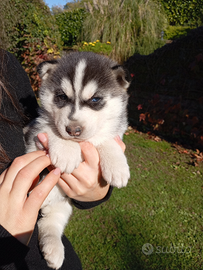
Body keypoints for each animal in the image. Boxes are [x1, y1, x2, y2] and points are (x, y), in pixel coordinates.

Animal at [25, 51, 130, 268]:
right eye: (61, 97)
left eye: (96, 99)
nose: (73, 130)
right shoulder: (34, 132)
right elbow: (52, 128)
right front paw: (66, 149)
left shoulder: (113, 131)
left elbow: (107, 139)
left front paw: (117, 166)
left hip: (62, 206)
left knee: (50, 223)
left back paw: (54, 250)